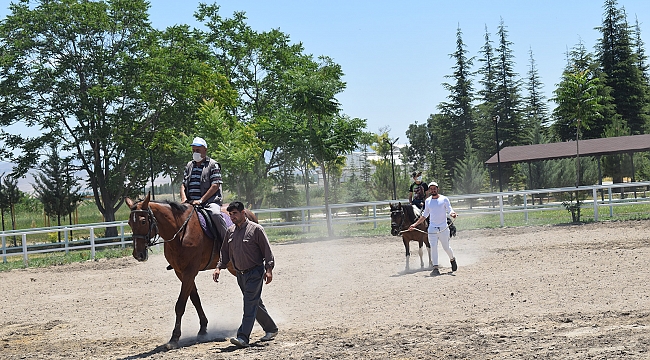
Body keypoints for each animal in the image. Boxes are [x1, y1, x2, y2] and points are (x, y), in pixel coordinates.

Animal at [125, 194, 256, 348]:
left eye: (143, 221)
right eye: (129, 223)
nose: (138, 254)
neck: (180, 232)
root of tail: (249, 213)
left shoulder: (189, 272)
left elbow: (180, 304)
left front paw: (174, 338)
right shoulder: (181, 273)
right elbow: (195, 299)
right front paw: (203, 328)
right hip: (232, 267)